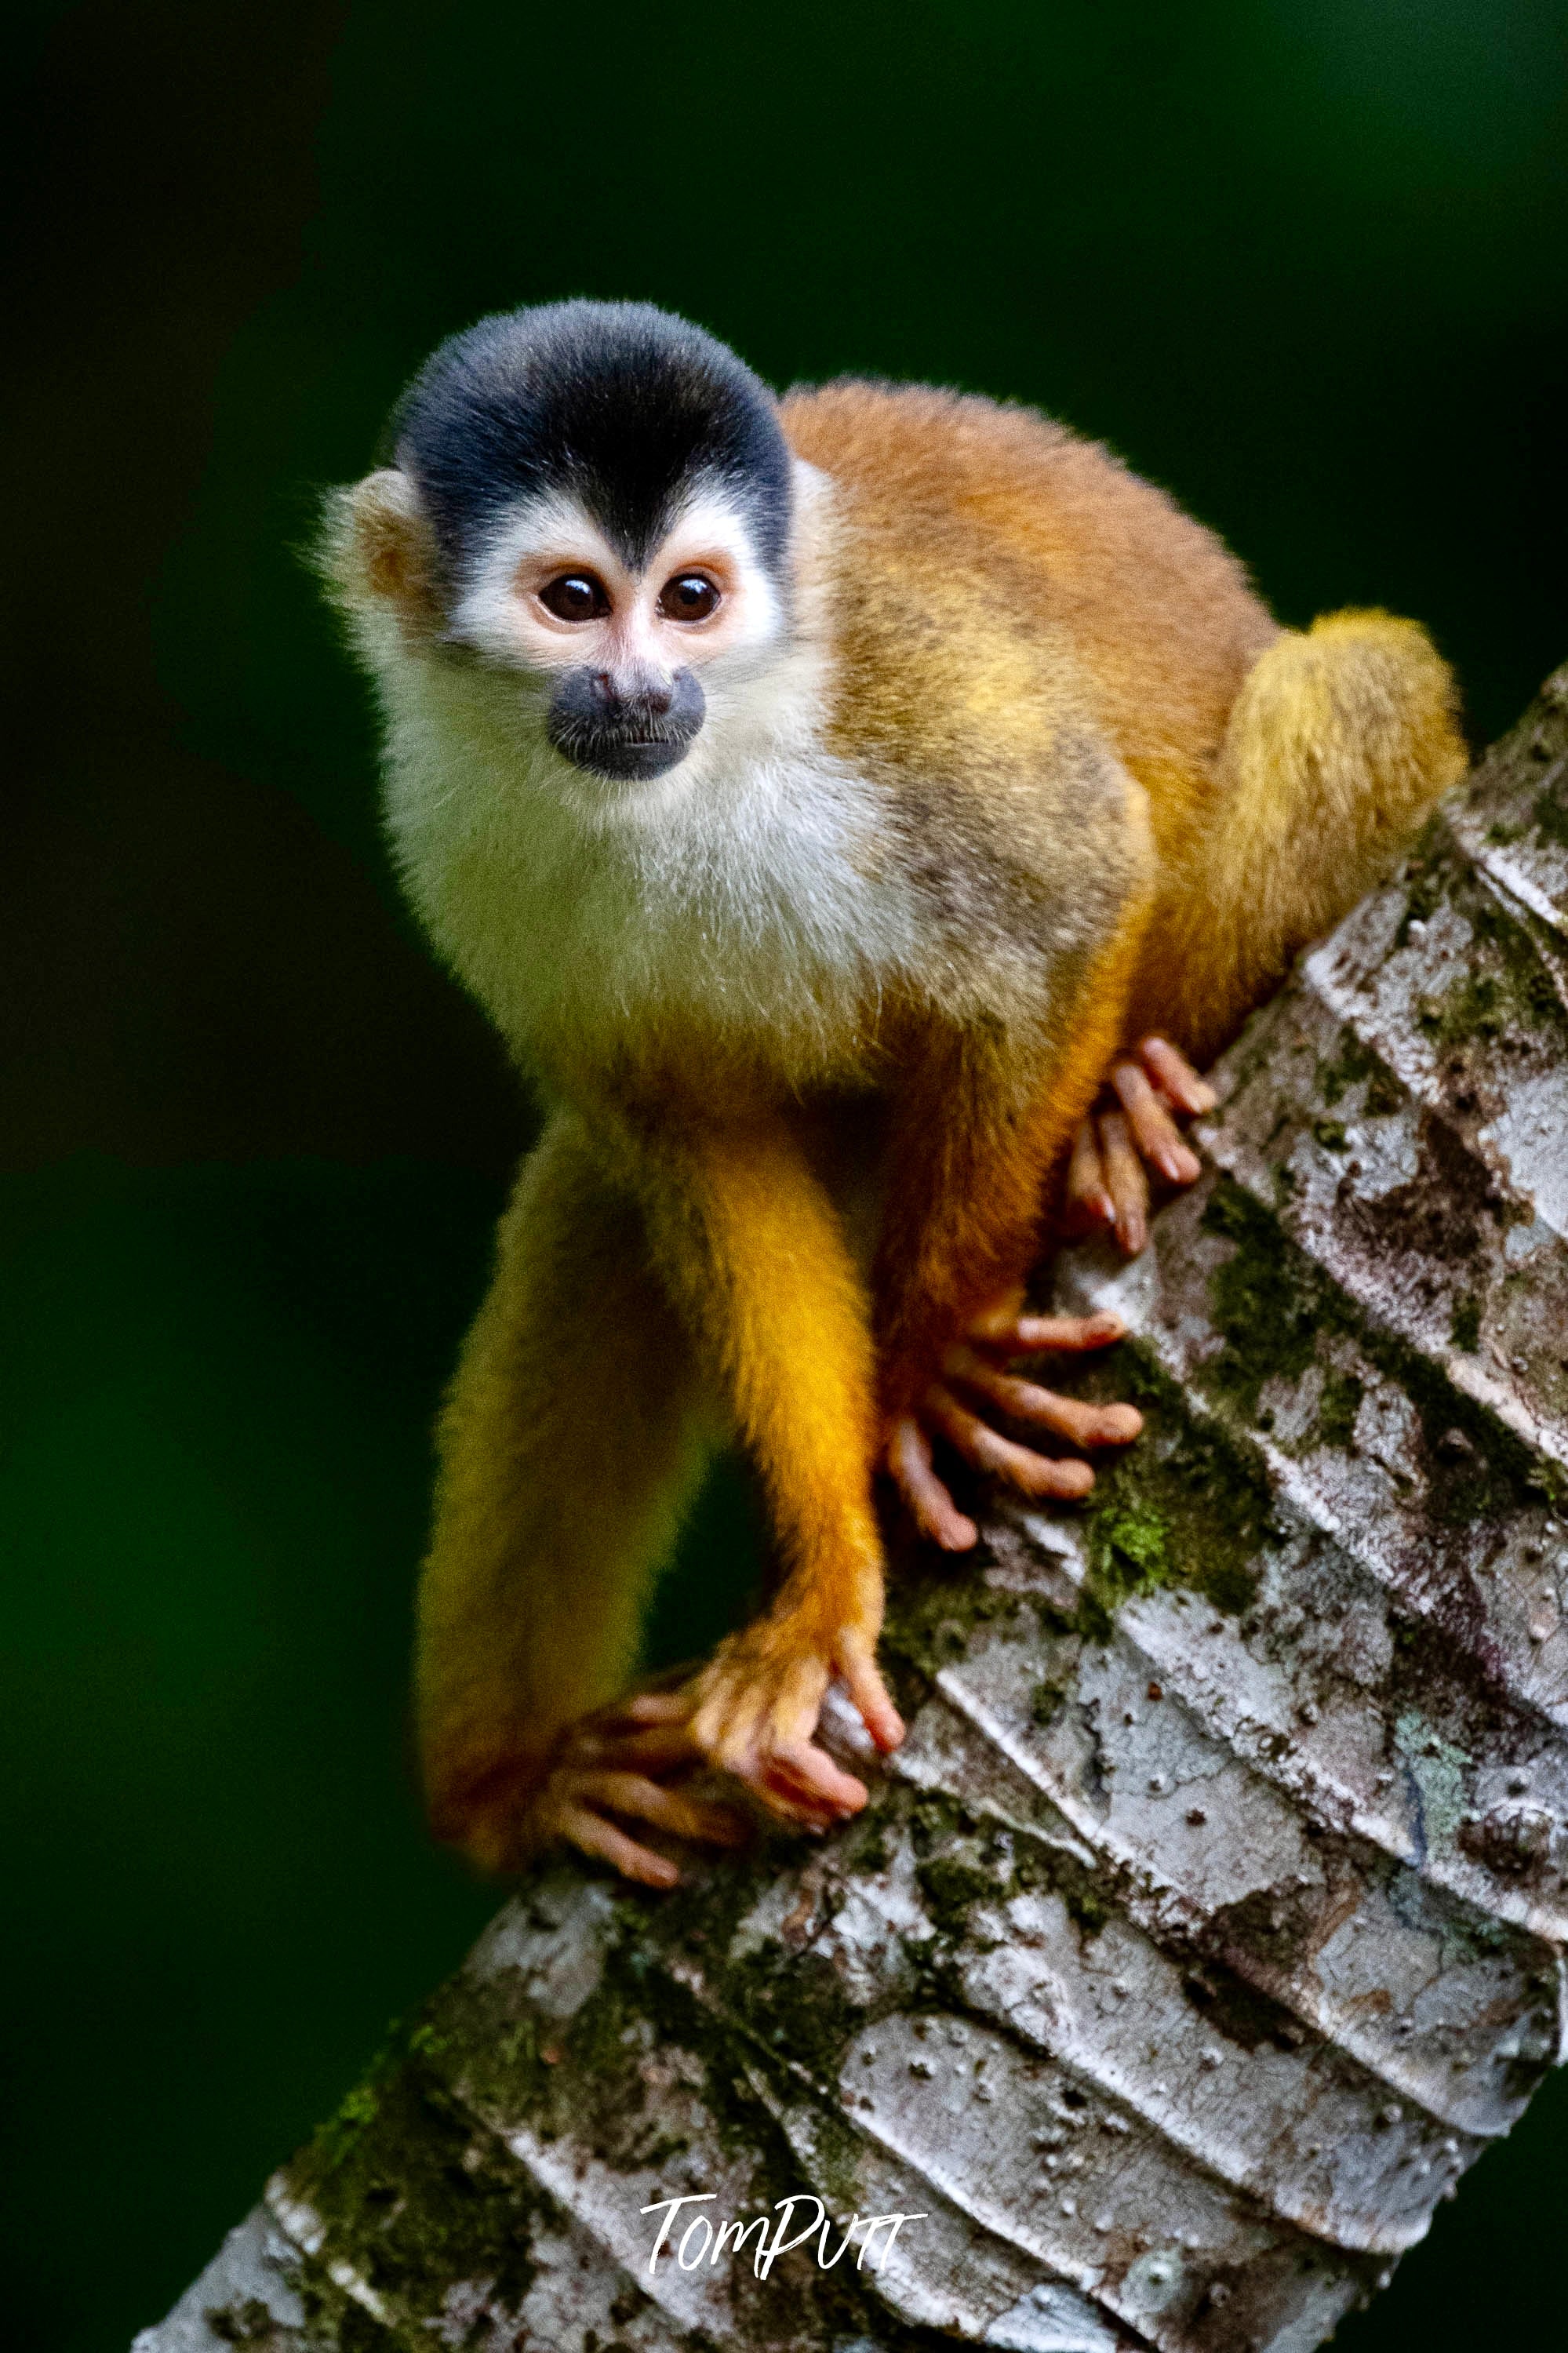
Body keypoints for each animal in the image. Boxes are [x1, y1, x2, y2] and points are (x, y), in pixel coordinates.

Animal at [320, 304, 1468, 1882]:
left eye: (689, 598)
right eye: (572, 600)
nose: (639, 689)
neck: (702, 768)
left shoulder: (900, 703)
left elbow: (1067, 898)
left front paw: (933, 1364)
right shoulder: (452, 840)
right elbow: (683, 1138)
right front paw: (820, 1586)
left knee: (1353, 684)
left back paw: (1118, 1104)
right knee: (592, 1208)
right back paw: (519, 1784)